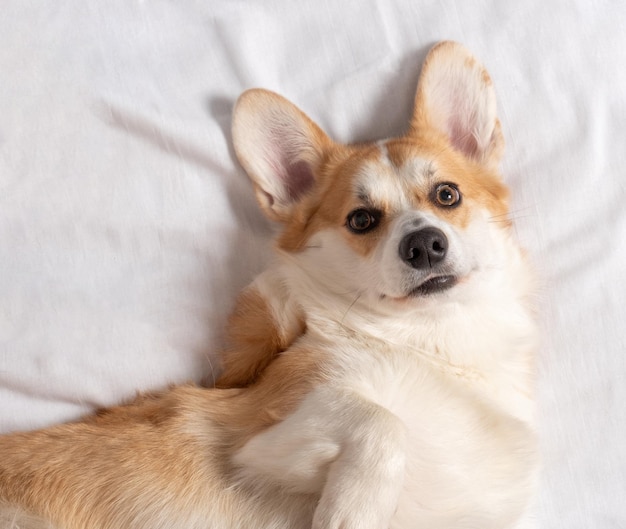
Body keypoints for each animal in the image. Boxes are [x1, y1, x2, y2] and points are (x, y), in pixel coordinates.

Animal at [0, 42, 536, 528]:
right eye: (361, 219)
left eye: (447, 195)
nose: (424, 244)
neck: (433, 341)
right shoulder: (262, 432)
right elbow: (381, 419)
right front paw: (352, 512)